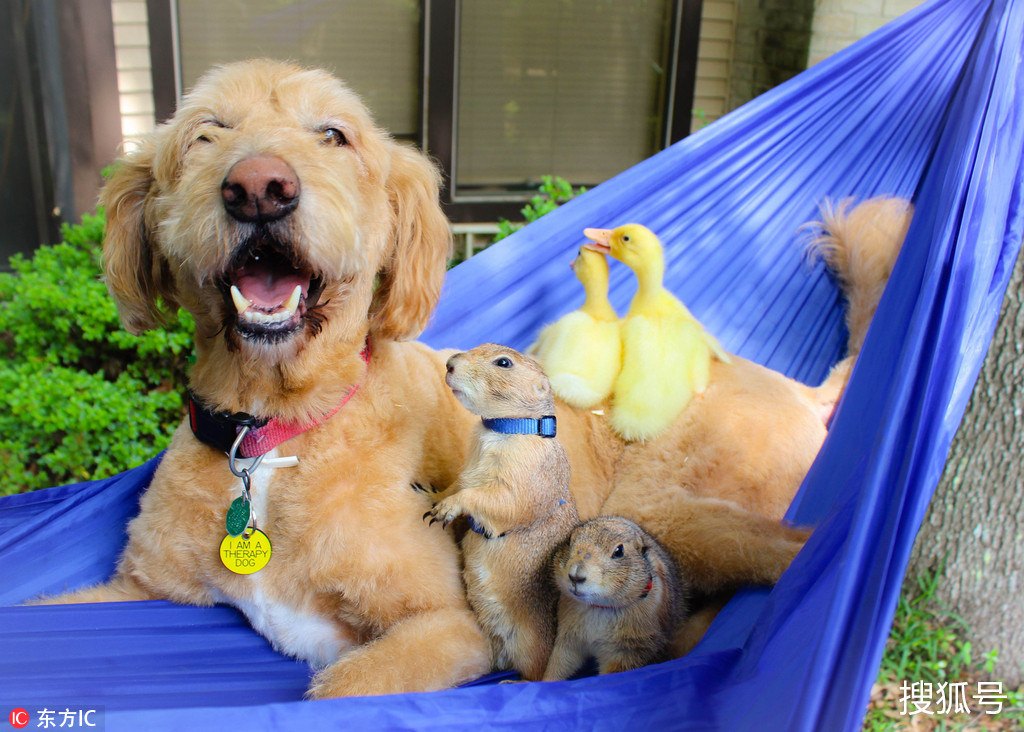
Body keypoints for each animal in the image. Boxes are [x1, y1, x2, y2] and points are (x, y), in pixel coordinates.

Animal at [44, 60, 913, 696]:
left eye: (334, 135)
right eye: (204, 135)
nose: (259, 186)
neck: (273, 432)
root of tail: (796, 386)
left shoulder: (443, 625)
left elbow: (340, 688)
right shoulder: (136, 592)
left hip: (675, 512)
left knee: (788, 550)